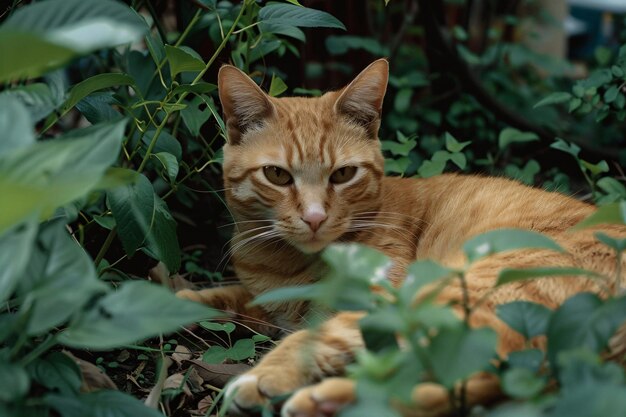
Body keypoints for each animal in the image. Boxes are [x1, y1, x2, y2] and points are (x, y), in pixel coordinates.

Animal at [177, 59, 624, 416]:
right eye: (277, 175)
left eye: (343, 174)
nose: (315, 217)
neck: (283, 264)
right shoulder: (264, 303)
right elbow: (225, 298)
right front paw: (178, 298)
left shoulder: (376, 297)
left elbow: (310, 332)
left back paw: (309, 395)